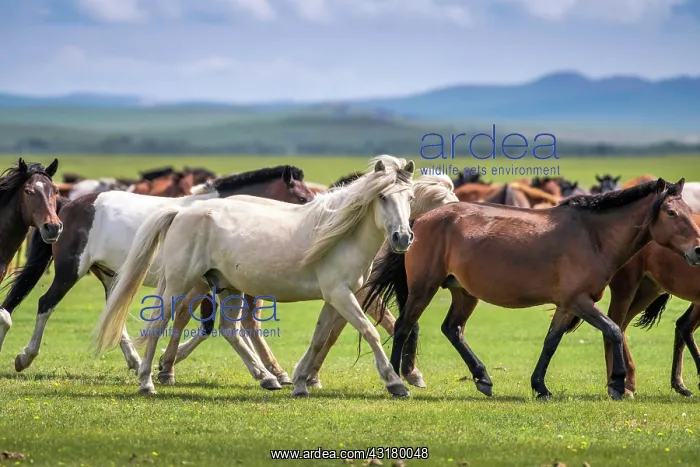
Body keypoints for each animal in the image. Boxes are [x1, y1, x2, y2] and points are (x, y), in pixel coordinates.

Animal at [92, 155, 416, 397]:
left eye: (411, 198)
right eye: (383, 196)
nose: (402, 238)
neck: (341, 236)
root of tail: (180, 212)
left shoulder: (334, 297)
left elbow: (318, 338)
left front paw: (300, 382)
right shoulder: (341, 294)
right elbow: (370, 331)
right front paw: (395, 382)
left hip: (228, 288)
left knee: (229, 330)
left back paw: (266, 377)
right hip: (180, 284)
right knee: (159, 324)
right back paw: (147, 381)